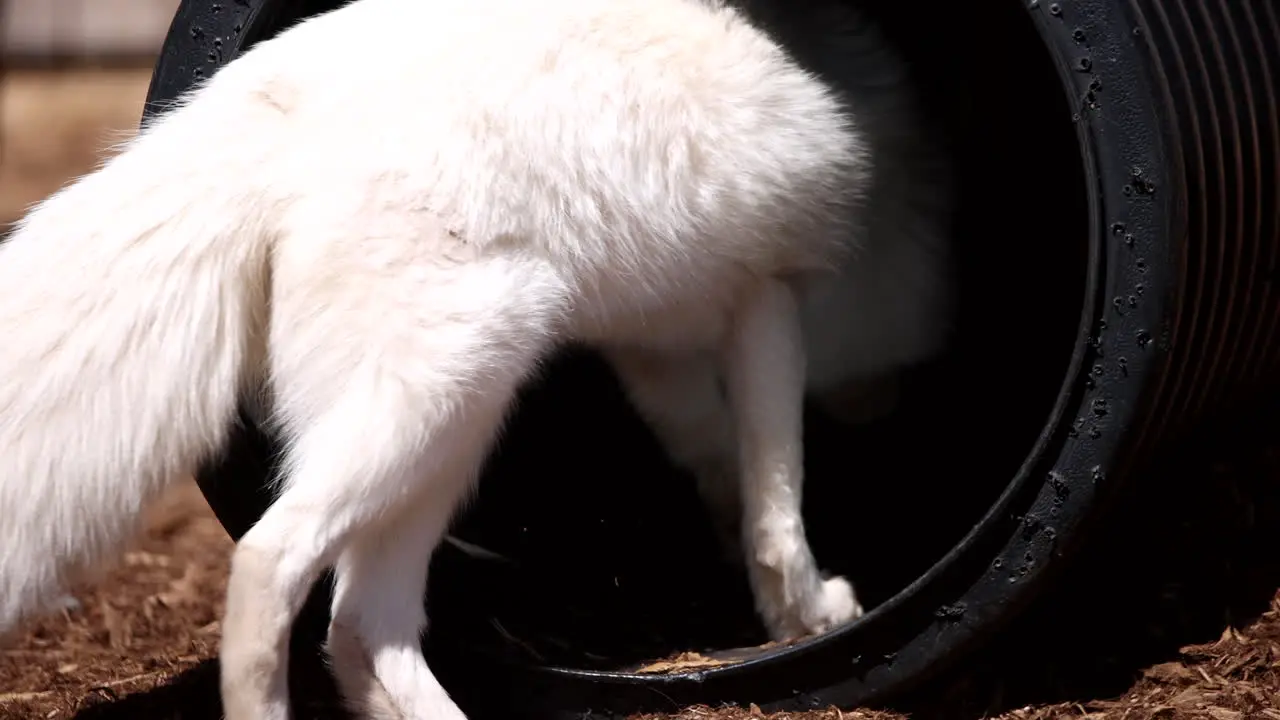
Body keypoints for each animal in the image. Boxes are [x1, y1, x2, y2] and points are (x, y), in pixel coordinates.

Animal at [0, 0, 942, 712]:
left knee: (361, 627)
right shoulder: (768, 298)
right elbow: (777, 493)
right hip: (454, 387)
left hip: (439, 441)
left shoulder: (651, 344)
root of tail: (270, 114)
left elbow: (721, 467)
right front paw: (806, 612)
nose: (887, 417)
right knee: (273, 564)